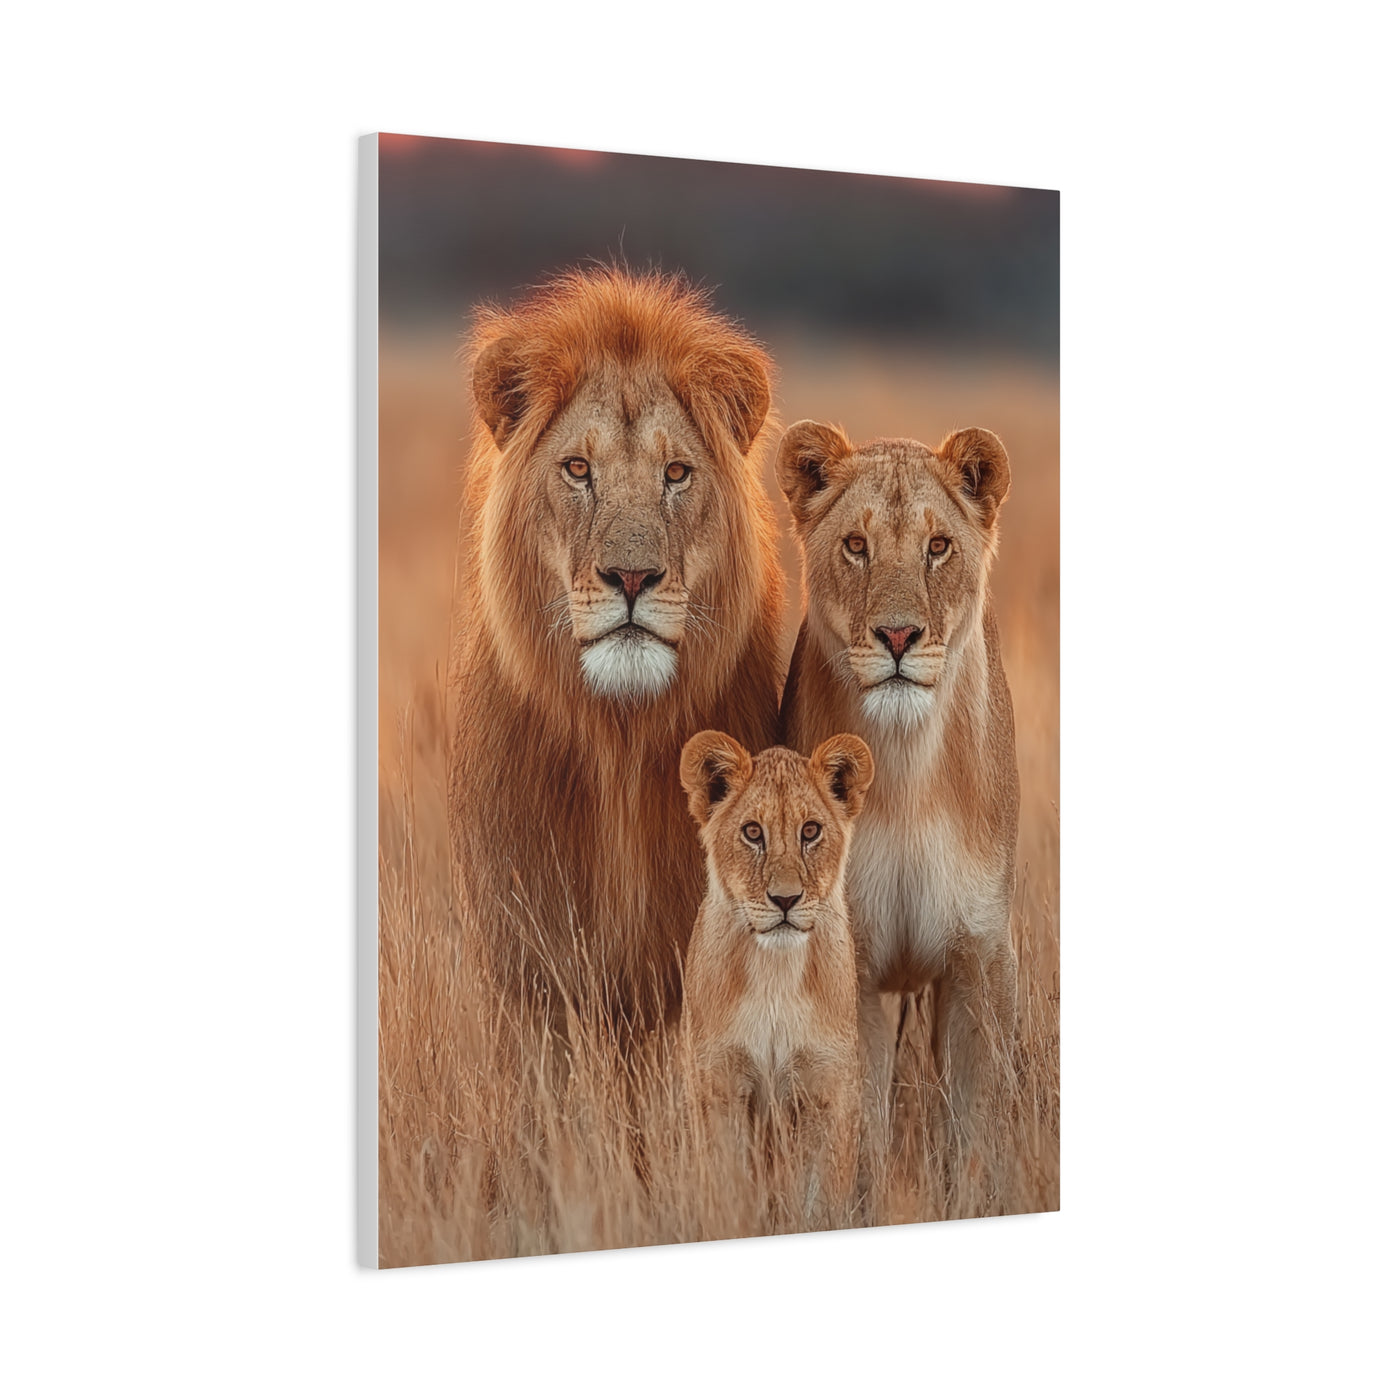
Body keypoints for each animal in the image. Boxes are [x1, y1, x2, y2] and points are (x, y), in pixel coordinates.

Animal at [678, 730, 873, 1217]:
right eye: (753, 832)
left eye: (810, 831)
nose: (785, 899)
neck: (774, 974)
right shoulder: (719, 1084)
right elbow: (727, 1190)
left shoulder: (827, 1089)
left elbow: (820, 1198)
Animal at [776, 419, 1019, 1165]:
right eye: (857, 546)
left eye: (938, 547)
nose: (899, 635)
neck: (908, 768)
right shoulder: (848, 962)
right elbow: (860, 1135)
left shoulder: (981, 958)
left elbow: (978, 1130)